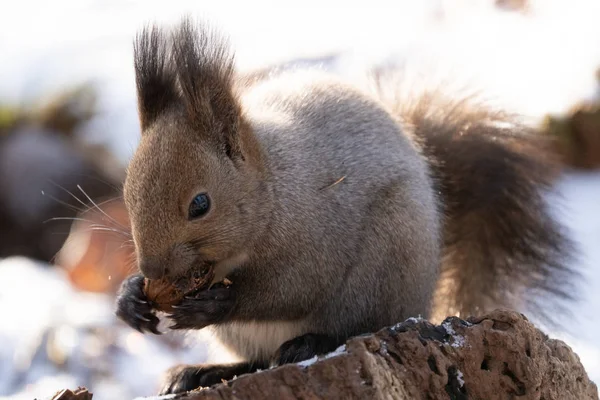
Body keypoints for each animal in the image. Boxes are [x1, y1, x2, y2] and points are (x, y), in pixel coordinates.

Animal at [113, 18, 576, 394]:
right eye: (128, 193)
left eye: (200, 204)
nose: (152, 269)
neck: (274, 189)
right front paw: (130, 299)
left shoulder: (317, 236)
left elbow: (292, 289)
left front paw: (214, 305)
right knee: (256, 361)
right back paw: (205, 371)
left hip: (380, 273)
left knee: (350, 327)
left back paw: (308, 343)